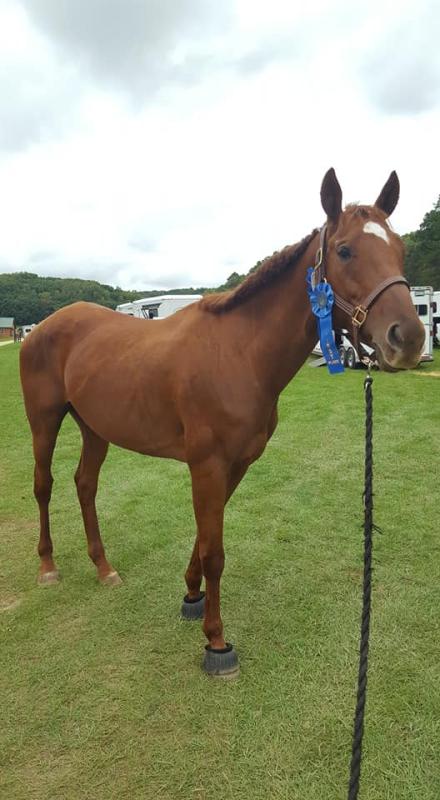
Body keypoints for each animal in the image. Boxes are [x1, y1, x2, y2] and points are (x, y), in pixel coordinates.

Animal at [20, 169, 425, 677]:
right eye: (346, 250)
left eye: (400, 248)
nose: (408, 338)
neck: (239, 353)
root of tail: (44, 326)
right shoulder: (207, 464)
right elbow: (215, 551)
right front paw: (215, 641)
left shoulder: (237, 463)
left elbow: (204, 536)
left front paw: (191, 595)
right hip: (44, 421)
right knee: (44, 485)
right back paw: (47, 567)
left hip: (95, 427)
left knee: (85, 484)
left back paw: (103, 567)